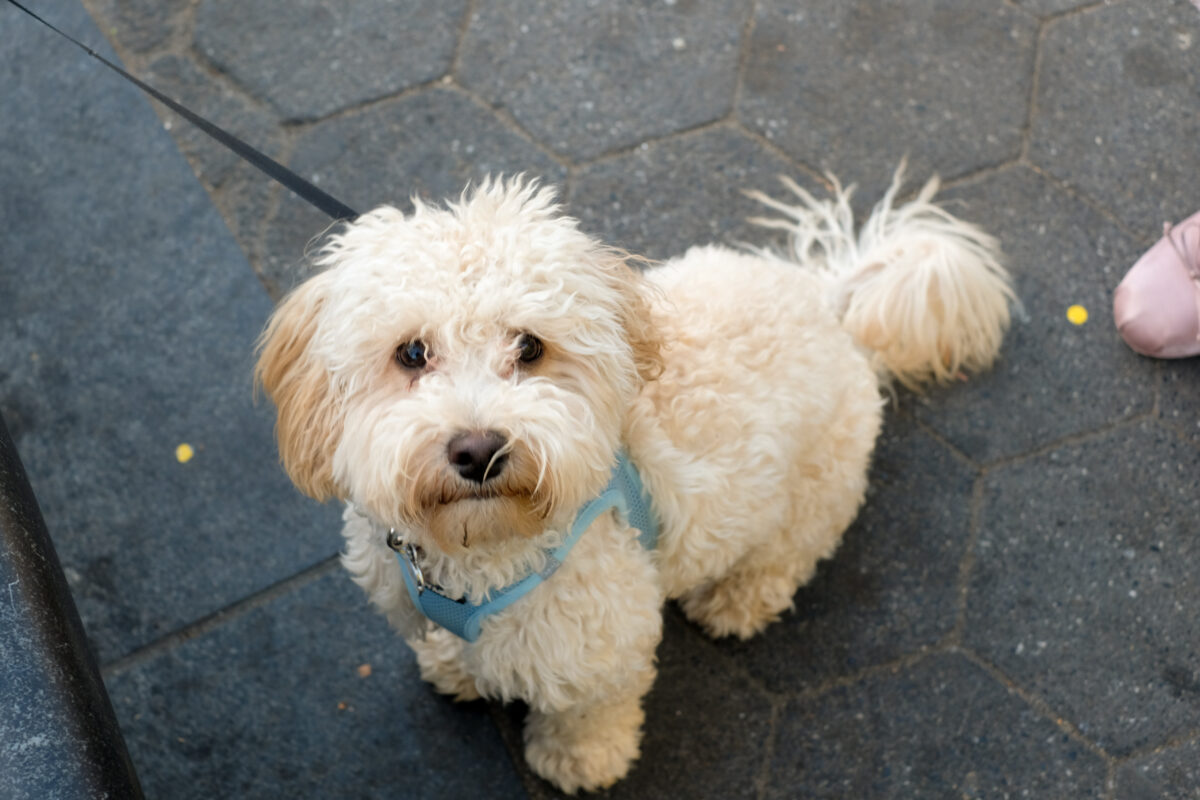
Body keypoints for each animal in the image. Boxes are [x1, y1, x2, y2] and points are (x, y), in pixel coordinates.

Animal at [253, 170, 1012, 796]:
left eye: (529, 347)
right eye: (411, 353)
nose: (480, 451)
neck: (480, 551)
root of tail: (825, 301)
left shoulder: (598, 644)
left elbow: (587, 710)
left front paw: (580, 763)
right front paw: (456, 665)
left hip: (818, 483)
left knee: (788, 551)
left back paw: (736, 599)